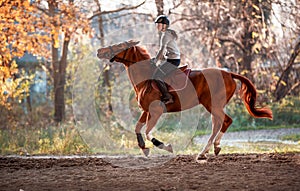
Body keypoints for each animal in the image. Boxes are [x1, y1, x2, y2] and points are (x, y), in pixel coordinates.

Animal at [97, 40, 274, 160]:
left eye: (119, 45)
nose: (99, 51)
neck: (145, 80)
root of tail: (229, 73)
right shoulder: (146, 111)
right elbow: (137, 128)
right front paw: (144, 149)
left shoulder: (155, 111)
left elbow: (147, 132)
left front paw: (165, 146)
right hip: (213, 106)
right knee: (217, 124)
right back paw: (207, 151)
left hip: (212, 104)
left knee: (225, 121)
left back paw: (209, 149)